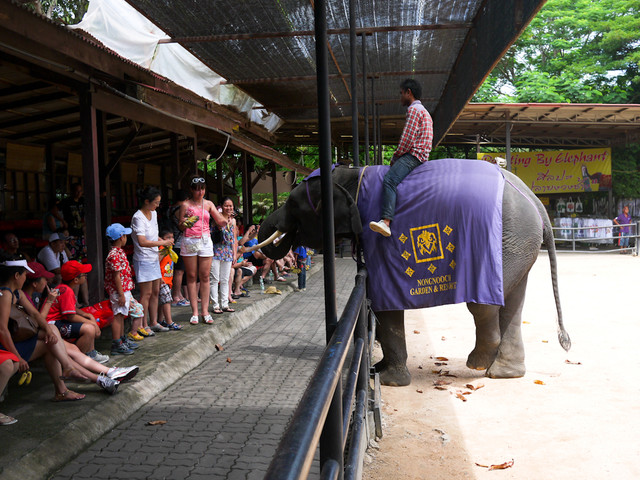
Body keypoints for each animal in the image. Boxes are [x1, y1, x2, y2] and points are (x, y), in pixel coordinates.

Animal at [255, 158, 568, 386]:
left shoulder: (380, 241)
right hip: (519, 245)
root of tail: (534, 199)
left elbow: (383, 302)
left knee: (482, 305)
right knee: (513, 305)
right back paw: (503, 374)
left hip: (502, 244)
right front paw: (377, 369)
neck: (351, 175)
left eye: (292, 204)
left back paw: (478, 362)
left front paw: (387, 380)